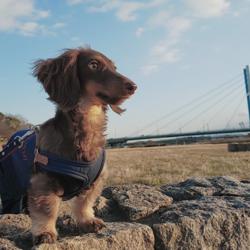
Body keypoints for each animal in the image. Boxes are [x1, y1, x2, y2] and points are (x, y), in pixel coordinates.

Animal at [28, 47, 137, 245]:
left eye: (114, 67)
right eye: (94, 64)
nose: (133, 86)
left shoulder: (95, 181)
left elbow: (83, 203)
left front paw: (88, 220)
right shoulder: (43, 181)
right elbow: (46, 209)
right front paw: (44, 232)